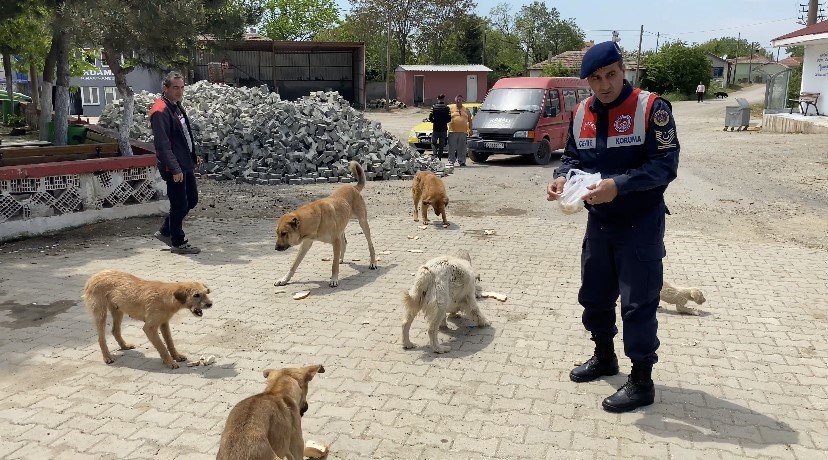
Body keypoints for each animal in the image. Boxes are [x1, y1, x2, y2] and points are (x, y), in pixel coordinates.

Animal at [82, 270, 212, 370]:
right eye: (196, 295)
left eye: (206, 293)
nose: (210, 304)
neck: (166, 297)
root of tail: (93, 277)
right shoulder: (149, 328)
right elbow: (162, 347)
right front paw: (170, 362)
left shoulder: (164, 323)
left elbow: (170, 342)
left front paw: (176, 356)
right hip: (101, 314)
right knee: (101, 338)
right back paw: (107, 356)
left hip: (118, 311)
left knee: (115, 330)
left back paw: (124, 345)